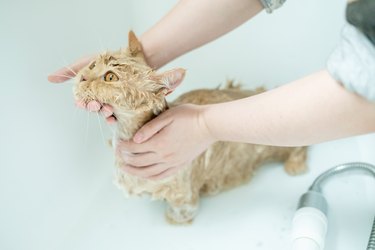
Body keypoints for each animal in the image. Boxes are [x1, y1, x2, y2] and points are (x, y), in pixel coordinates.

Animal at [73, 31, 308, 225]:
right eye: (93, 65)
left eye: (110, 77)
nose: (82, 76)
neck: (124, 135)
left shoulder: (184, 197)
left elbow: (179, 213)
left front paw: (172, 218)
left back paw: (295, 165)